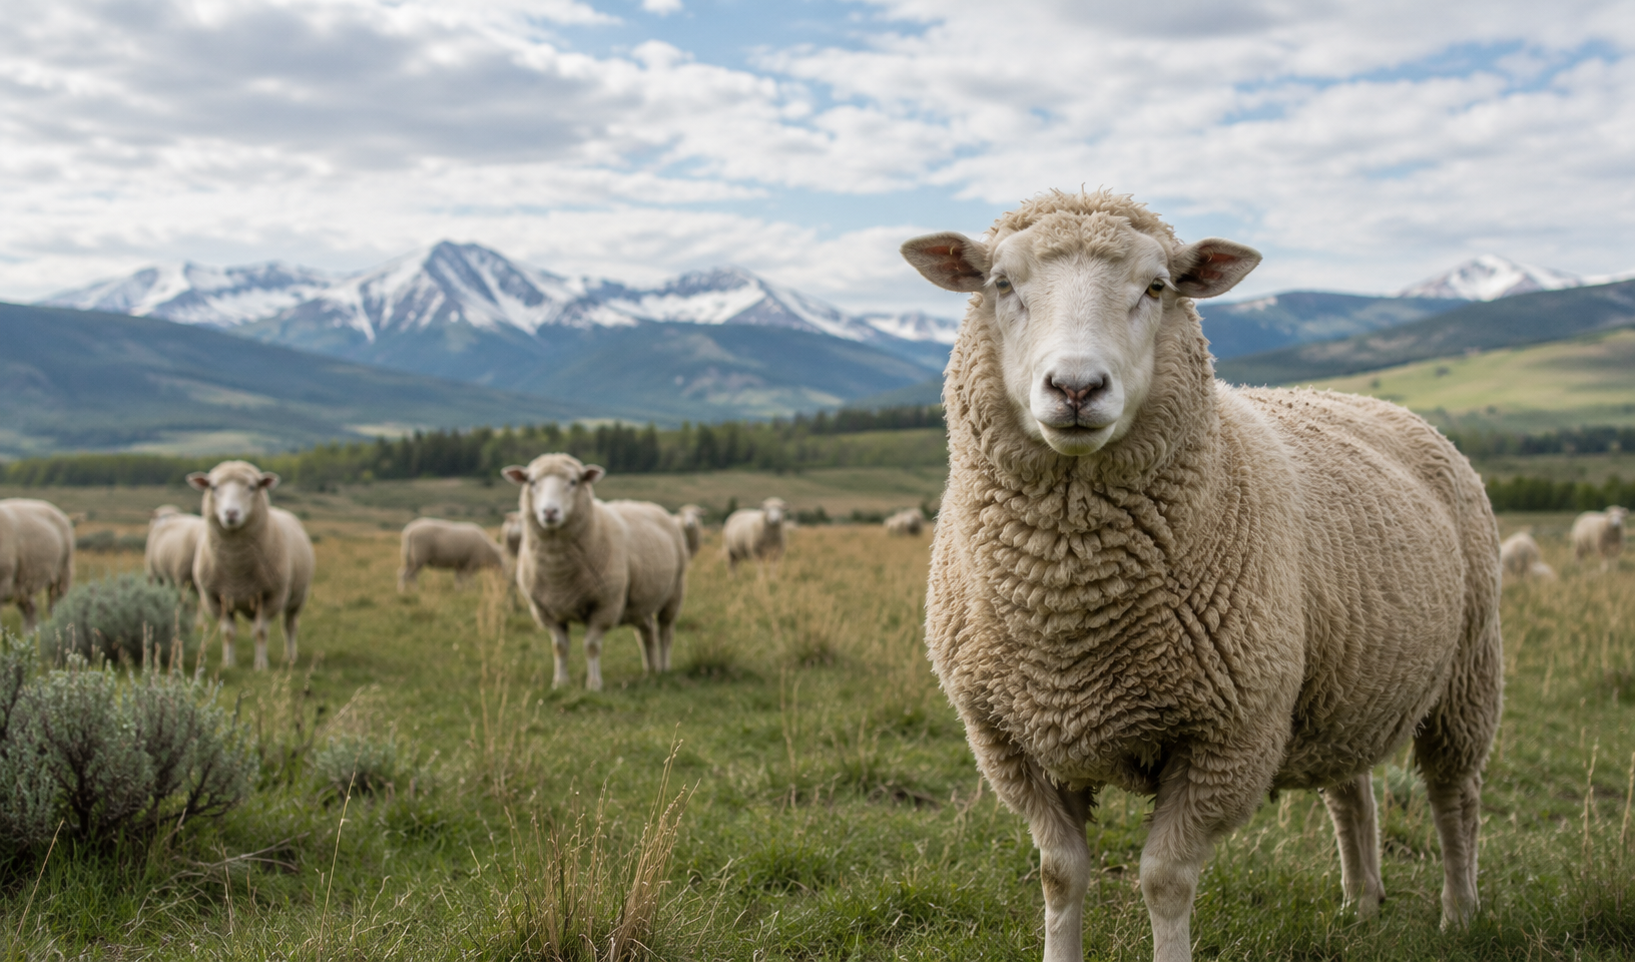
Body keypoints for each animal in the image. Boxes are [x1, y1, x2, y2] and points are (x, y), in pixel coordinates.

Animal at [0, 498, 75, 632]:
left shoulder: (3, 580)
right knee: (31, 610)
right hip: (22, 583)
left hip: (63, 569)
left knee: (58, 604)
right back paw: (30, 634)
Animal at [187, 460, 316, 670]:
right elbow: (228, 633)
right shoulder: (216, 599)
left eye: (252, 487)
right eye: (213, 487)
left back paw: (290, 657)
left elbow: (260, 632)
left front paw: (261, 666)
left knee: (290, 626)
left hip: (297, 596)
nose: (231, 513)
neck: (236, 567)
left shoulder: (271, 596)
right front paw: (228, 664)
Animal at [503, 454, 688, 691]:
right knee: (647, 632)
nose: (550, 512)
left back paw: (664, 667)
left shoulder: (605, 605)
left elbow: (591, 646)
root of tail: (649, 505)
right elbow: (559, 647)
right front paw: (560, 682)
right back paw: (650, 669)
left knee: (666, 631)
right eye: (532, 482)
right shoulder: (545, 611)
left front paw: (593, 684)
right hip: (639, 603)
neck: (558, 573)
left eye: (573, 481)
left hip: (674, 593)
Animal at [901, 190, 1502, 962]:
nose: (1075, 387)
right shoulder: (1011, 741)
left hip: (1467, 670)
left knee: (1455, 797)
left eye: (1157, 287)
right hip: (1343, 678)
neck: (1069, 607)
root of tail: (1380, 404)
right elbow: (1059, 875)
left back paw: (1459, 912)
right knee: (1351, 791)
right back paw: (1361, 904)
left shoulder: (1228, 739)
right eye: (1001, 283)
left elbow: (1164, 880)